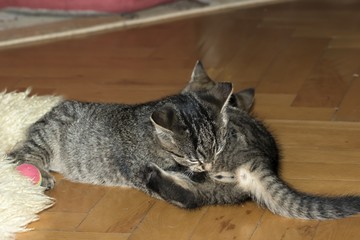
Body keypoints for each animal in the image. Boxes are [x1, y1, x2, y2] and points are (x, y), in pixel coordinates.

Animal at [9, 62, 233, 197]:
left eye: (218, 151)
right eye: (194, 159)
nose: (209, 166)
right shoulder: (141, 171)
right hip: (45, 140)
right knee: (21, 155)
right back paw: (42, 174)